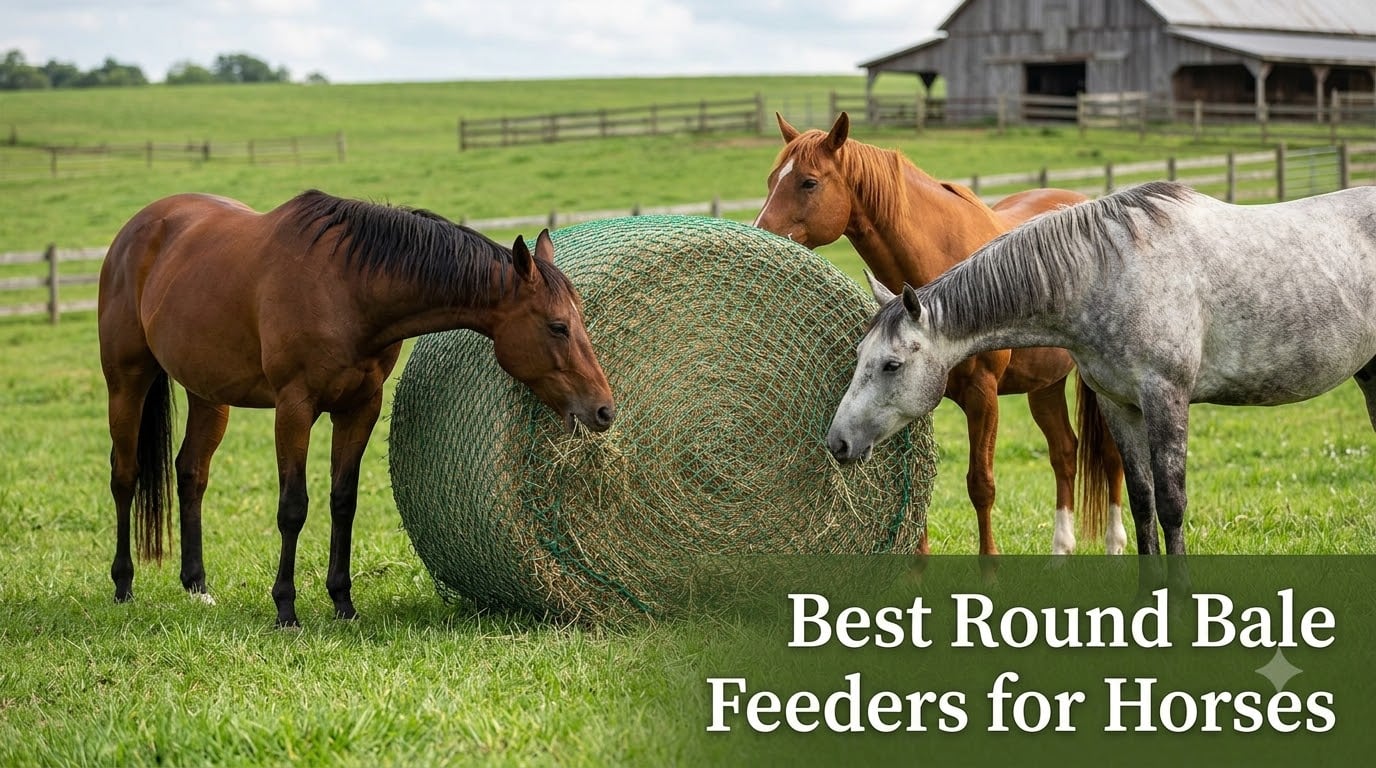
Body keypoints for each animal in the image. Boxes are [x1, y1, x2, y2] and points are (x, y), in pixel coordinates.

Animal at [98, 190, 616, 627]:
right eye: (557, 326)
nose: (604, 410)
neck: (348, 287)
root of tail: (139, 227)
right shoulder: (294, 408)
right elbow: (293, 507)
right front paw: (286, 608)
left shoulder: (360, 408)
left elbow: (343, 501)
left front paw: (343, 602)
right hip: (127, 382)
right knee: (124, 475)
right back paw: (123, 585)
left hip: (209, 394)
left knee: (192, 474)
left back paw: (197, 586)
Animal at [755, 111, 1126, 557]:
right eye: (772, 179)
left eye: (808, 182)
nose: (758, 234)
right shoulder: (910, 394)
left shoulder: (983, 396)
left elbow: (981, 484)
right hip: (1045, 385)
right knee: (1064, 452)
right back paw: (1061, 549)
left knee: (1111, 457)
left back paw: (1115, 544)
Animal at [827, 180, 1376, 577]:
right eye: (858, 355)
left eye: (892, 364)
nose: (837, 442)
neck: (1108, 273)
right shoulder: (1119, 404)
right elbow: (1141, 501)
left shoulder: (1166, 398)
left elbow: (1171, 504)